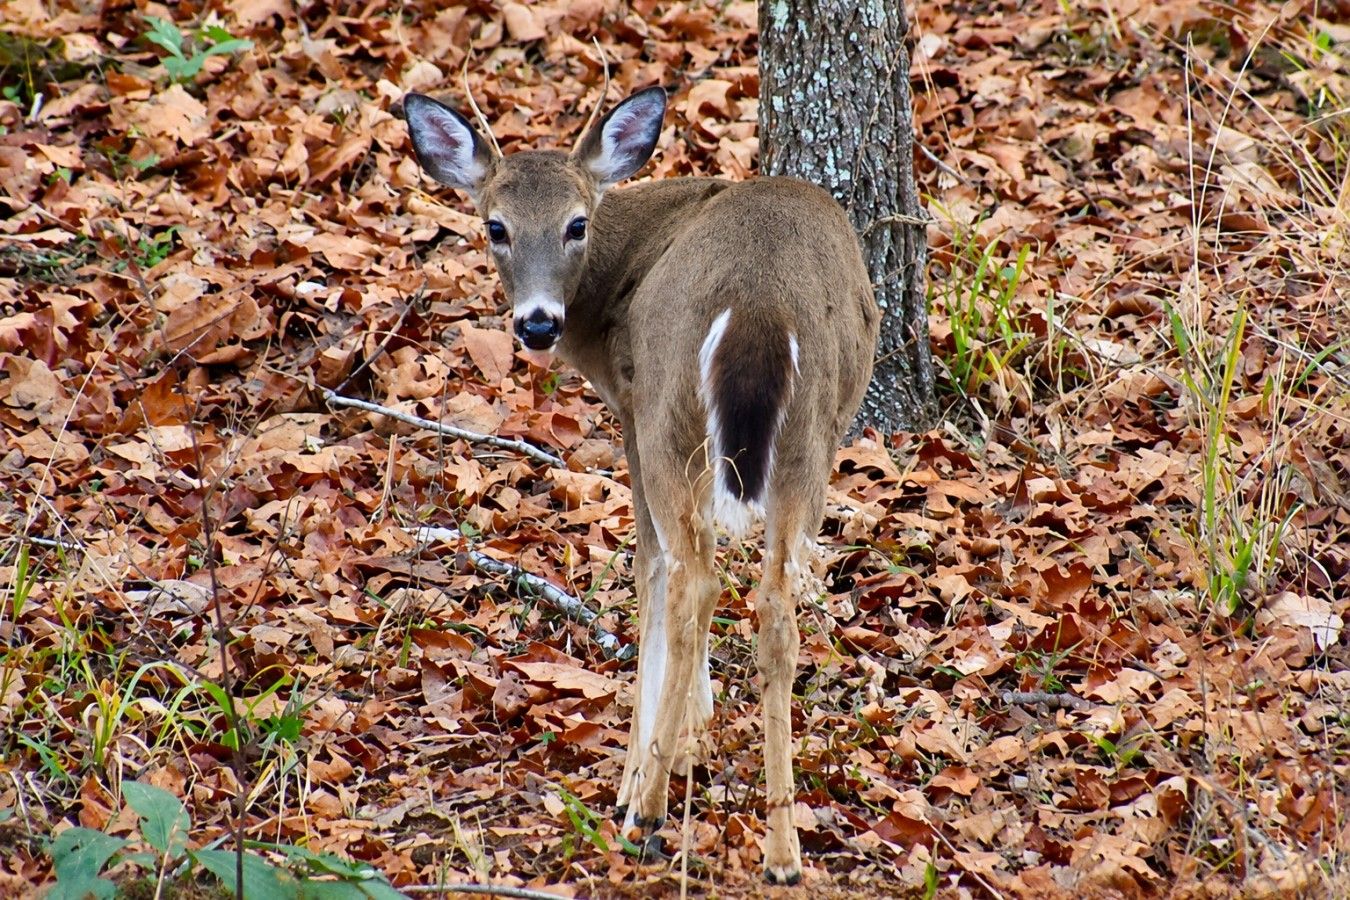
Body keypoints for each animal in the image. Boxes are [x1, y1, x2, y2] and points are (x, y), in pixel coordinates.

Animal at [403, 82, 879, 884]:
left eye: (577, 223)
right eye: (496, 225)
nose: (537, 324)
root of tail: (759, 310)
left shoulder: (631, 406)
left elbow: (647, 570)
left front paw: (648, 765)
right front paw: (698, 737)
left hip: (671, 415)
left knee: (691, 579)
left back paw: (646, 812)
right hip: (810, 438)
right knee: (774, 602)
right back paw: (783, 852)